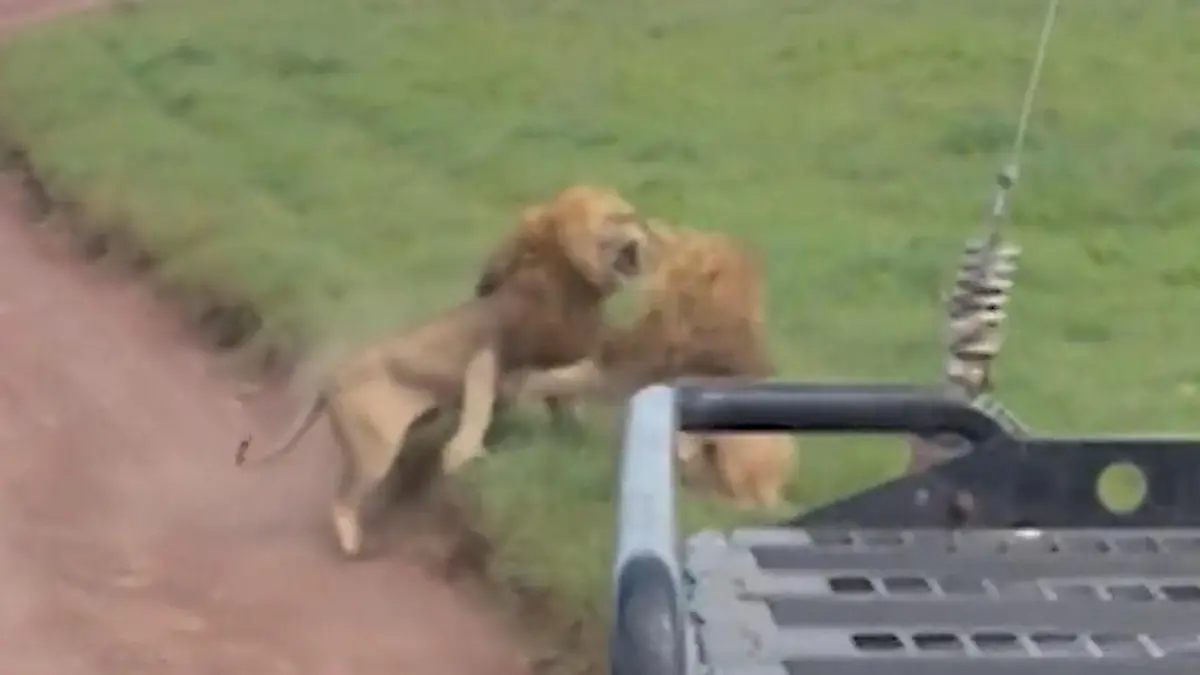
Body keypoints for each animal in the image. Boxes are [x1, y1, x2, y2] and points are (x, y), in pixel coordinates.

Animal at [235, 185, 649, 558]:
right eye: (616, 218)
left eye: (629, 216)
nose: (642, 230)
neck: (573, 289)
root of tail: (331, 376)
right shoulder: (496, 346)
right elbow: (498, 392)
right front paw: (465, 454)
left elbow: (565, 394)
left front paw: (574, 430)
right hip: (374, 446)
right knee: (342, 497)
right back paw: (354, 541)